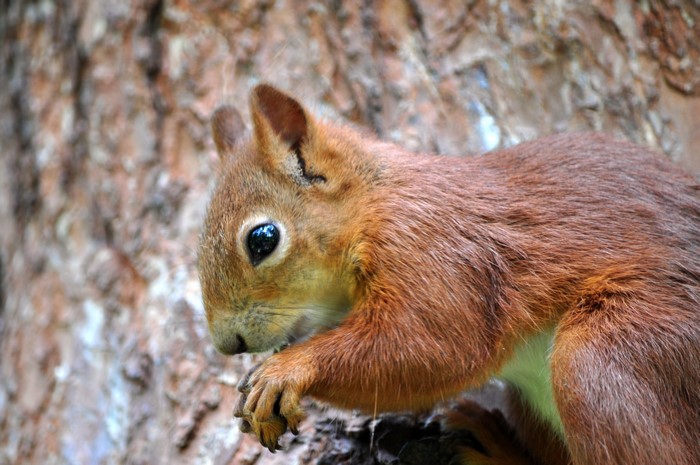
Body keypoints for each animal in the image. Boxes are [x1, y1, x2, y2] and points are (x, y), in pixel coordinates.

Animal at [197, 84, 700, 465]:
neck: (374, 206)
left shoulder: (432, 251)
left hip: (606, 356)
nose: (227, 345)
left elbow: (436, 346)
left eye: (263, 238)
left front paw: (286, 369)